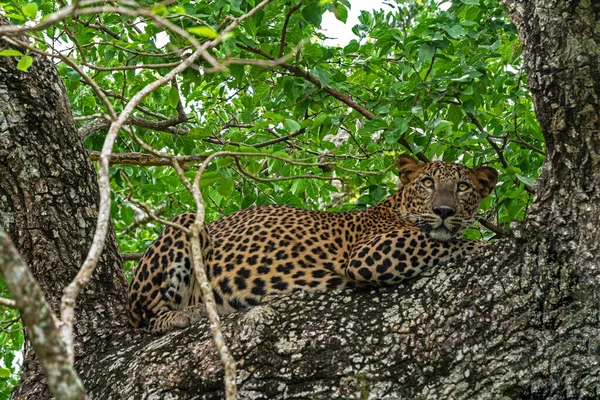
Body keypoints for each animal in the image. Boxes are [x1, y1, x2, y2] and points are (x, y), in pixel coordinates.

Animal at [125, 155, 496, 332]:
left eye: (463, 187)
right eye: (428, 183)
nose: (444, 211)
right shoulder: (369, 254)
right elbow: (442, 243)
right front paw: (482, 244)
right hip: (187, 222)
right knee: (145, 317)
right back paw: (187, 313)